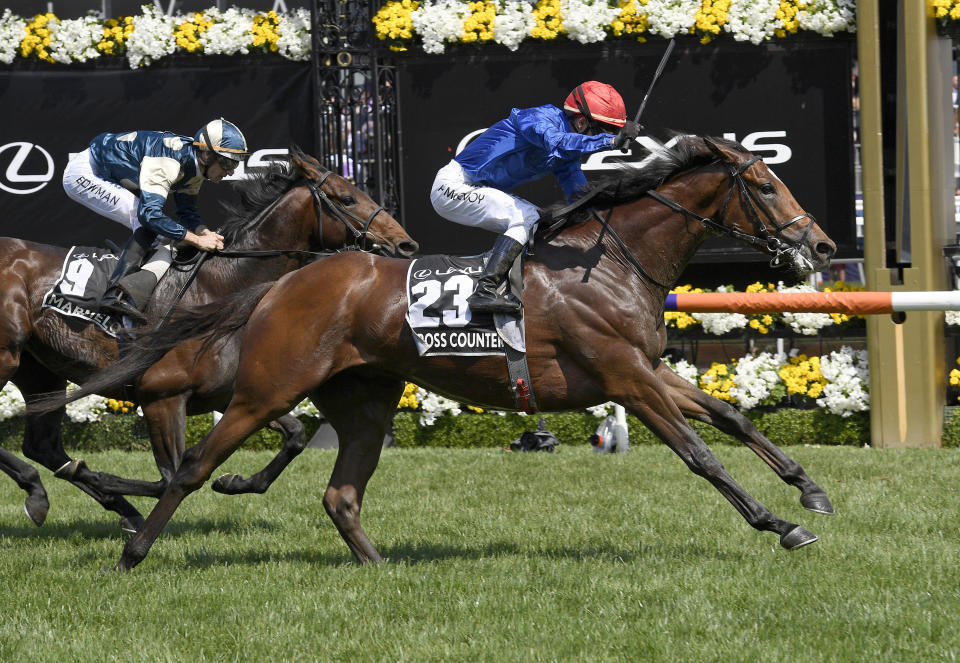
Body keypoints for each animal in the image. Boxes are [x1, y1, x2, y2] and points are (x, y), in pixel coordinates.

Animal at [1, 148, 418, 532]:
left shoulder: (233, 394)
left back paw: (62, 499)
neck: (219, 286)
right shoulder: (161, 398)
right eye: (347, 199)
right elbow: (170, 476)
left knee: (42, 445)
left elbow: (296, 435)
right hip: (7, 357)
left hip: (39, 370)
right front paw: (100, 479)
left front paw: (233, 482)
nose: (406, 245)